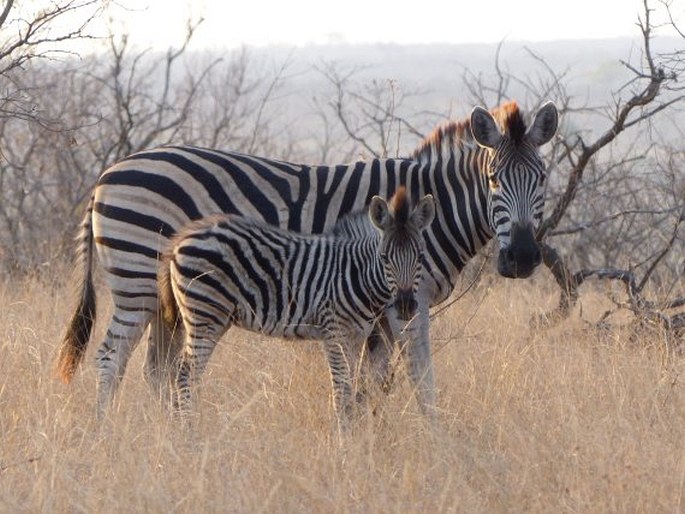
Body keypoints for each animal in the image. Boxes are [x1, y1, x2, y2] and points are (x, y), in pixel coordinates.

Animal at [157, 186, 432, 426]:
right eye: (384, 258)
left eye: (420, 256)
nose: (406, 306)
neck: (355, 273)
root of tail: (181, 239)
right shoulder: (333, 331)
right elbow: (341, 392)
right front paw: (344, 442)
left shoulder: (357, 334)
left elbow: (355, 388)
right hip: (204, 314)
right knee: (186, 376)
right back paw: (191, 435)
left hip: (214, 318)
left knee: (187, 375)